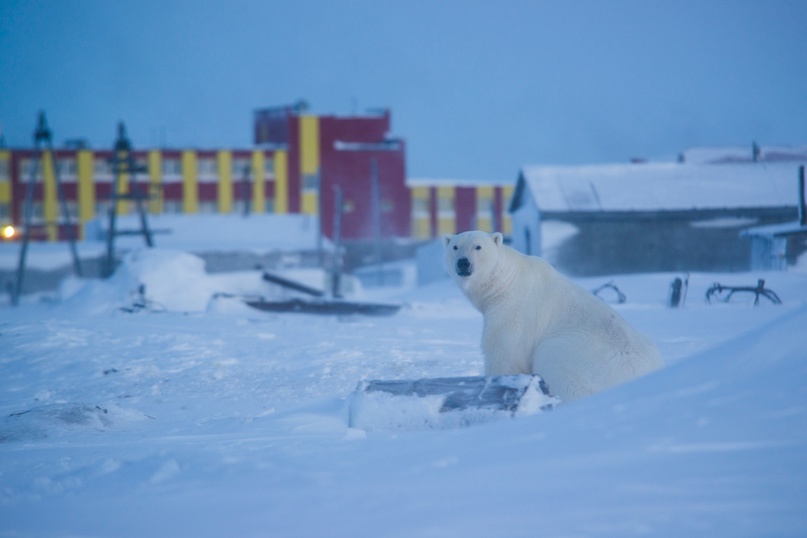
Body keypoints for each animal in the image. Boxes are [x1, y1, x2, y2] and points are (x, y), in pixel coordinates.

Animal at [446, 228, 664, 400]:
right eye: (455, 247)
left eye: (478, 247)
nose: (463, 263)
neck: (506, 280)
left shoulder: (514, 310)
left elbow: (505, 353)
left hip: (572, 355)